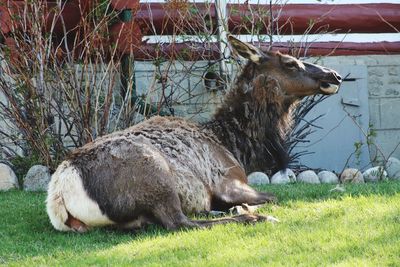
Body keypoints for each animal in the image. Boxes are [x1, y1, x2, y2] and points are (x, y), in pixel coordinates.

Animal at [46, 35, 340, 232]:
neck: (232, 144)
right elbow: (273, 196)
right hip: (157, 179)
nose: (334, 76)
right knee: (180, 223)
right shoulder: (229, 182)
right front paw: (249, 208)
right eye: (290, 63)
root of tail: (60, 194)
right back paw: (254, 217)